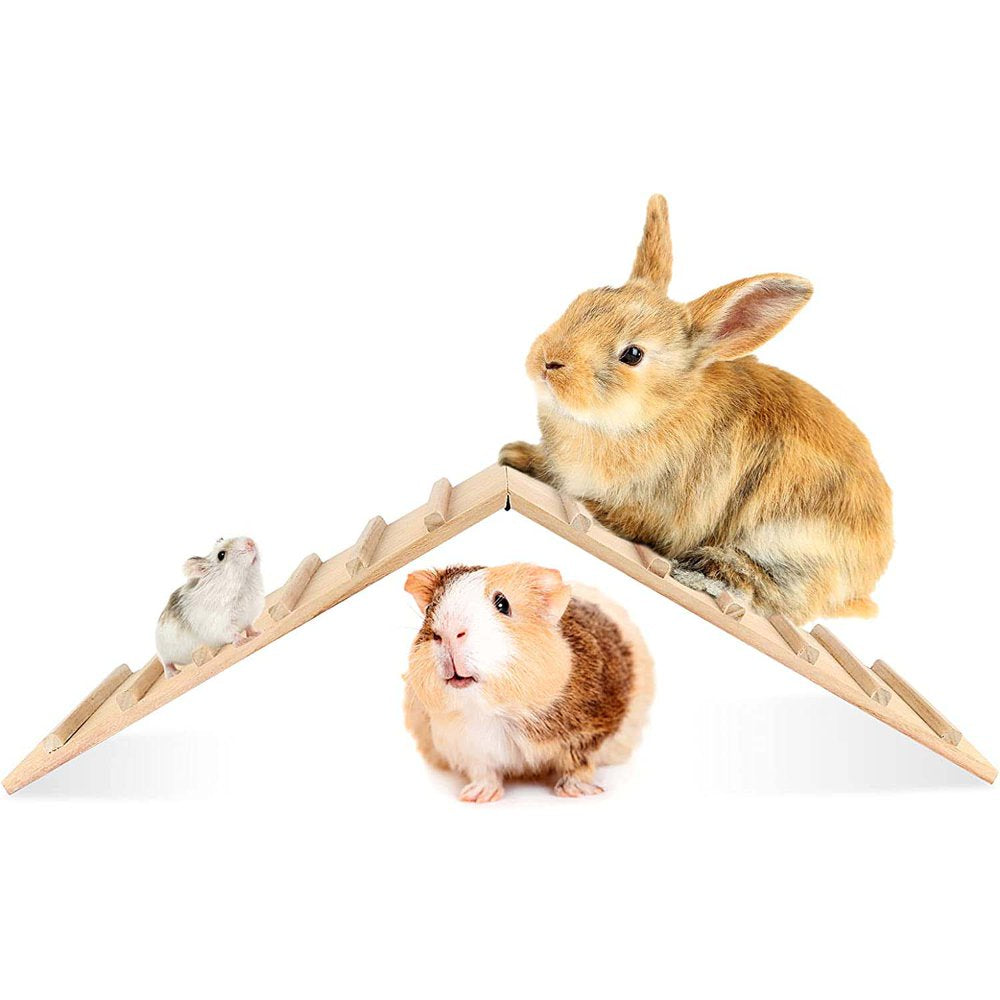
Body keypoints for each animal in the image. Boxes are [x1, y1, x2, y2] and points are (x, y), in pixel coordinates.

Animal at [154, 540, 264, 680]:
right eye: (221, 555)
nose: (250, 541)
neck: (243, 583)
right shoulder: (221, 625)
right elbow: (233, 634)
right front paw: (243, 642)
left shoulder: (248, 617)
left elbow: (249, 627)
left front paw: (257, 633)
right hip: (163, 653)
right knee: (166, 664)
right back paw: (174, 674)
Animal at [500, 193, 892, 624]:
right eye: (584, 300)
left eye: (632, 354)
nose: (548, 362)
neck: (655, 412)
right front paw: (514, 455)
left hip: (792, 544)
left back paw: (710, 569)